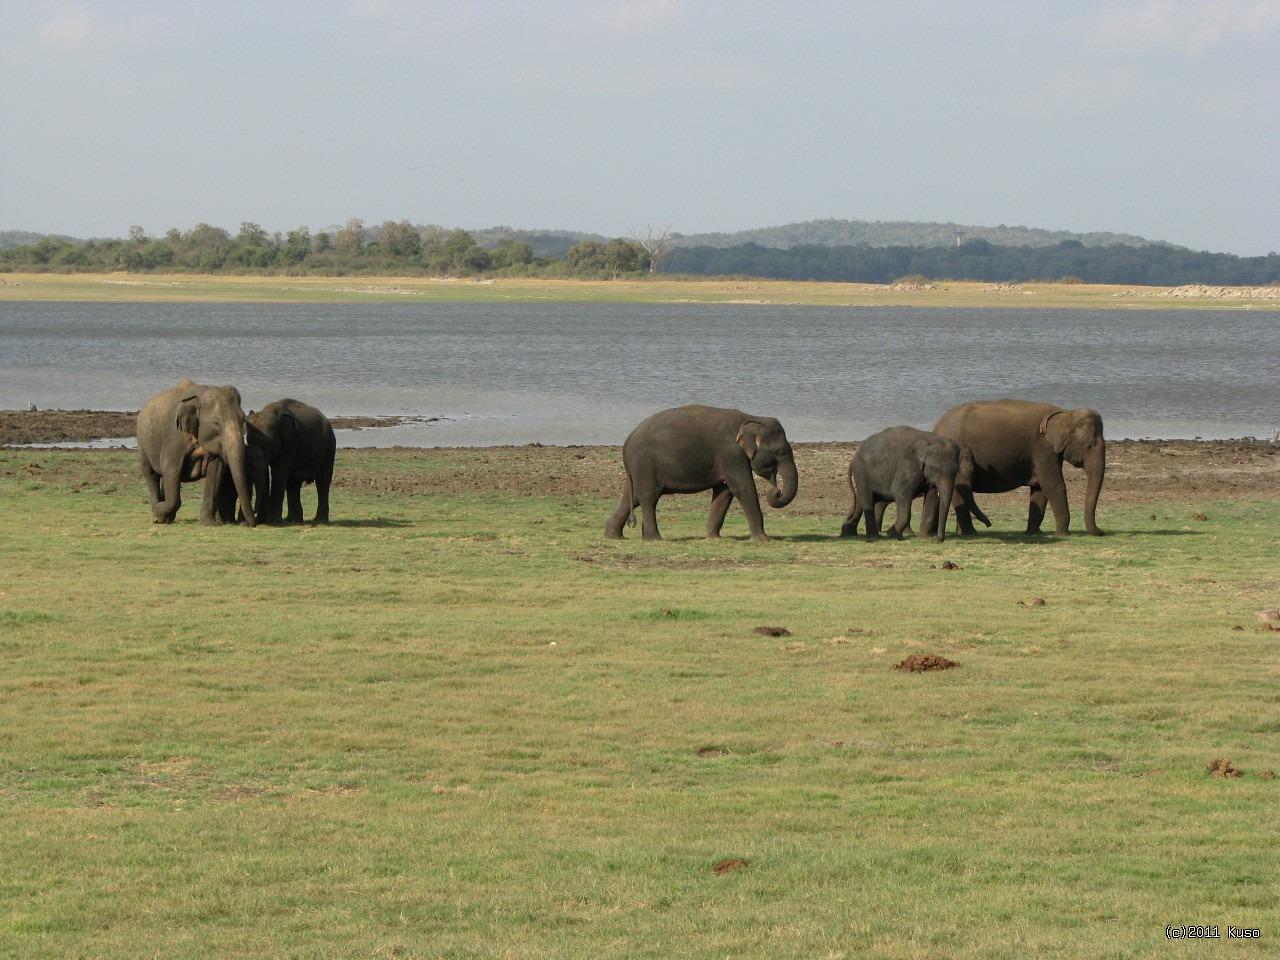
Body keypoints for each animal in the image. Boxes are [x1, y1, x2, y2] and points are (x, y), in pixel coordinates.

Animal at [137, 378, 257, 527]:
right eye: (216, 423)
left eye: (243, 419)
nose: (251, 523)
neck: (200, 396)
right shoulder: (174, 438)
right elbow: (171, 469)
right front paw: (159, 511)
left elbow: (216, 472)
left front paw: (208, 523)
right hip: (142, 442)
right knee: (151, 474)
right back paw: (158, 516)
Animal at [241, 399, 335, 527]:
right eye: (248, 441)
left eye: (270, 443)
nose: (258, 519)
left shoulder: (290, 443)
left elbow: (279, 472)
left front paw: (274, 521)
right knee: (293, 483)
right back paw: (293, 520)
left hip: (329, 449)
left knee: (322, 482)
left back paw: (319, 520)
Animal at [601, 404, 798, 545]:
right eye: (781, 452)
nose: (776, 490)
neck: (753, 418)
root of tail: (627, 441)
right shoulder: (732, 455)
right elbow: (742, 487)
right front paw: (764, 540)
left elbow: (724, 491)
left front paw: (713, 538)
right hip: (645, 465)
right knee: (648, 497)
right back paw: (655, 539)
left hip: (638, 469)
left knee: (631, 496)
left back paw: (613, 536)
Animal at [926, 396, 1105, 537]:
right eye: (1089, 446)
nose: (1101, 531)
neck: (1066, 413)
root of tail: (936, 426)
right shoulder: (1042, 448)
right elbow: (1053, 485)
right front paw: (1062, 534)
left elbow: (1039, 489)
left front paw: (1034, 533)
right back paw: (970, 533)